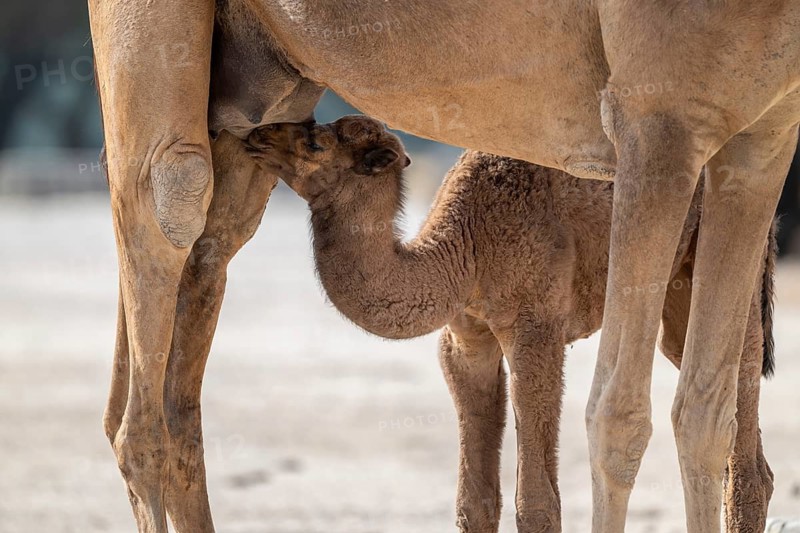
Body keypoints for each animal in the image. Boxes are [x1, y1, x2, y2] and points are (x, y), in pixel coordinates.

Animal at [247, 115, 778, 532]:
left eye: (316, 143)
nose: (255, 136)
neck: (463, 251)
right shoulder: (466, 339)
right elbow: (475, 504)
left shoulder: (535, 326)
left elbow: (538, 505)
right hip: (677, 294)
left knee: (745, 409)